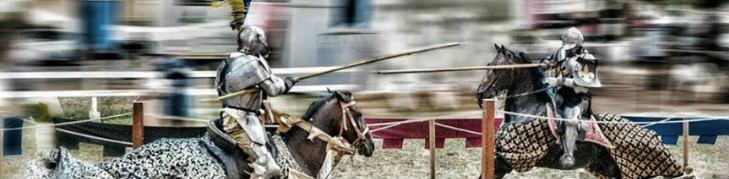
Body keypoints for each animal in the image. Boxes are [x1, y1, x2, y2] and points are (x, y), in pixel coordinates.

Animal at [474, 44, 680, 178]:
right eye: (488, 65)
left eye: (497, 69)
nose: (480, 93)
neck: (526, 113)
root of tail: (652, 134)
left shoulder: (509, 160)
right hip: (609, 170)